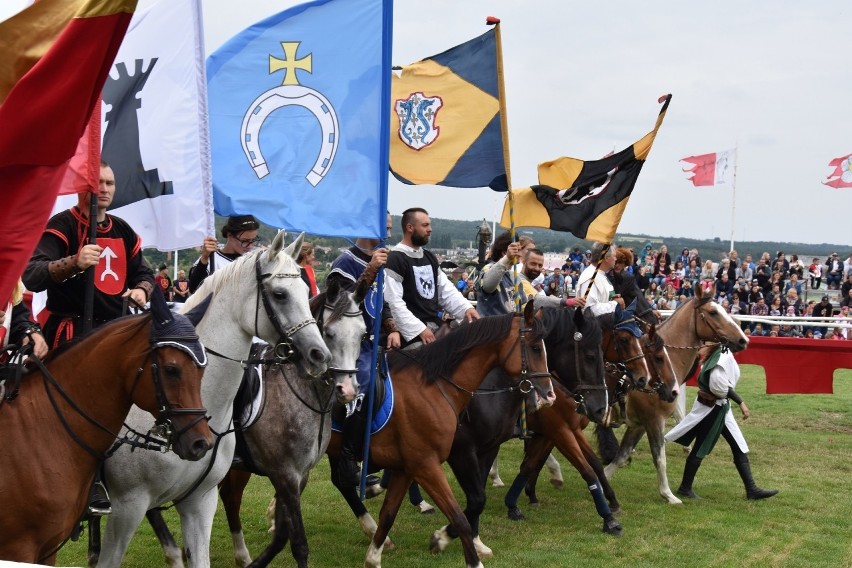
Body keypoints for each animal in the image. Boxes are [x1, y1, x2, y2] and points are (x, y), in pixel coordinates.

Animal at [326, 304, 552, 568]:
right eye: (535, 347)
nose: (549, 395)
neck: (433, 388)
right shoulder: (431, 463)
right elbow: (463, 512)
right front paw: (452, 545)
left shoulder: (410, 467)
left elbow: (390, 513)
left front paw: (375, 556)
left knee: (341, 482)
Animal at [600, 286, 744, 504]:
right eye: (713, 312)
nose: (744, 340)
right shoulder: (654, 421)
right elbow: (660, 458)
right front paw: (668, 495)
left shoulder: (639, 424)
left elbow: (621, 456)